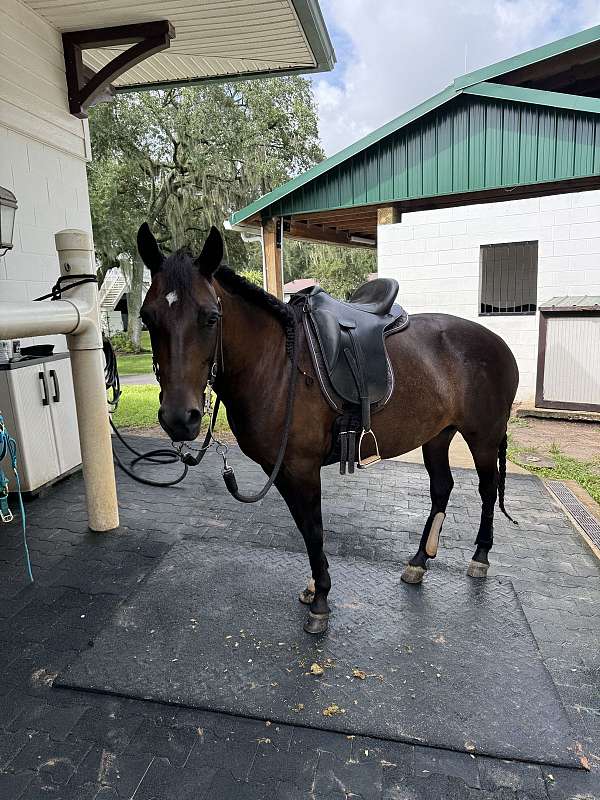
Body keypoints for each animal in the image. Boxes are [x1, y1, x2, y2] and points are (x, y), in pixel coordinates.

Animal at [137, 223, 520, 632]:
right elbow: (305, 527)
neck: (279, 364)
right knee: (442, 490)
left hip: (483, 437)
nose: (180, 418)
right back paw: (418, 563)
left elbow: (314, 528)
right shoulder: (282, 471)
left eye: (211, 317)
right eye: (147, 318)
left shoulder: (302, 468)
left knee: (487, 490)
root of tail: (498, 342)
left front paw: (320, 599)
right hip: (436, 436)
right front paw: (313, 587)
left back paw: (480, 557)